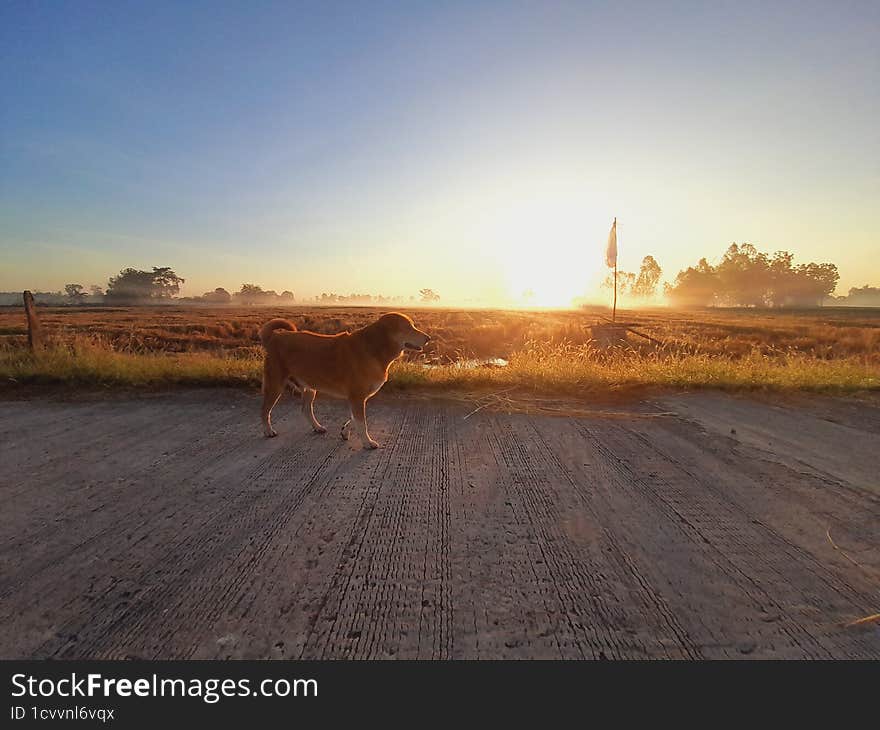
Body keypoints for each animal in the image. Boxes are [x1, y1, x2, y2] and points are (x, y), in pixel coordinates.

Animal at [258, 312, 430, 446]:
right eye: (408, 327)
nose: (428, 338)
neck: (374, 347)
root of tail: (275, 337)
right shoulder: (357, 397)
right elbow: (362, 423)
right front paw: (367, 442)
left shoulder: (357, 398)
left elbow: (354, 418)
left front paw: (345, 431)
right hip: (275, 385)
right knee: (265, 410)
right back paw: (268, 430)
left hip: (310, 388)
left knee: (306, 409)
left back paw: (317, 427)